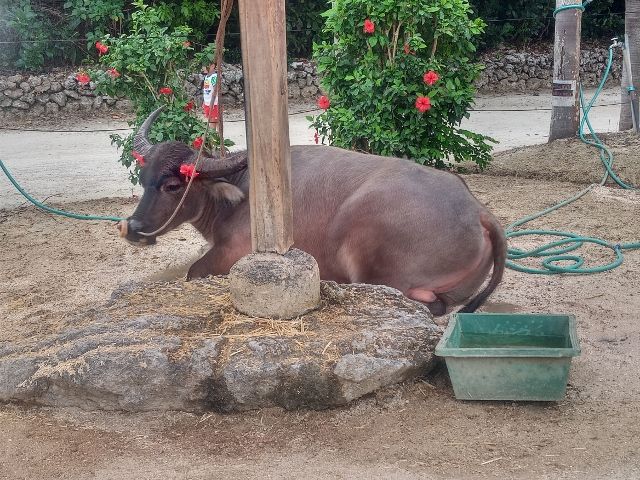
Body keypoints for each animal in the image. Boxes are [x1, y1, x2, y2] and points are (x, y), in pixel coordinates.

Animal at [117, 108, 506, 316]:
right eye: (144, 178)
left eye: (173, 185)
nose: (133, 227)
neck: (240, 191)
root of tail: (479, 212)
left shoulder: (232, 254)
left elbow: (193, 272)